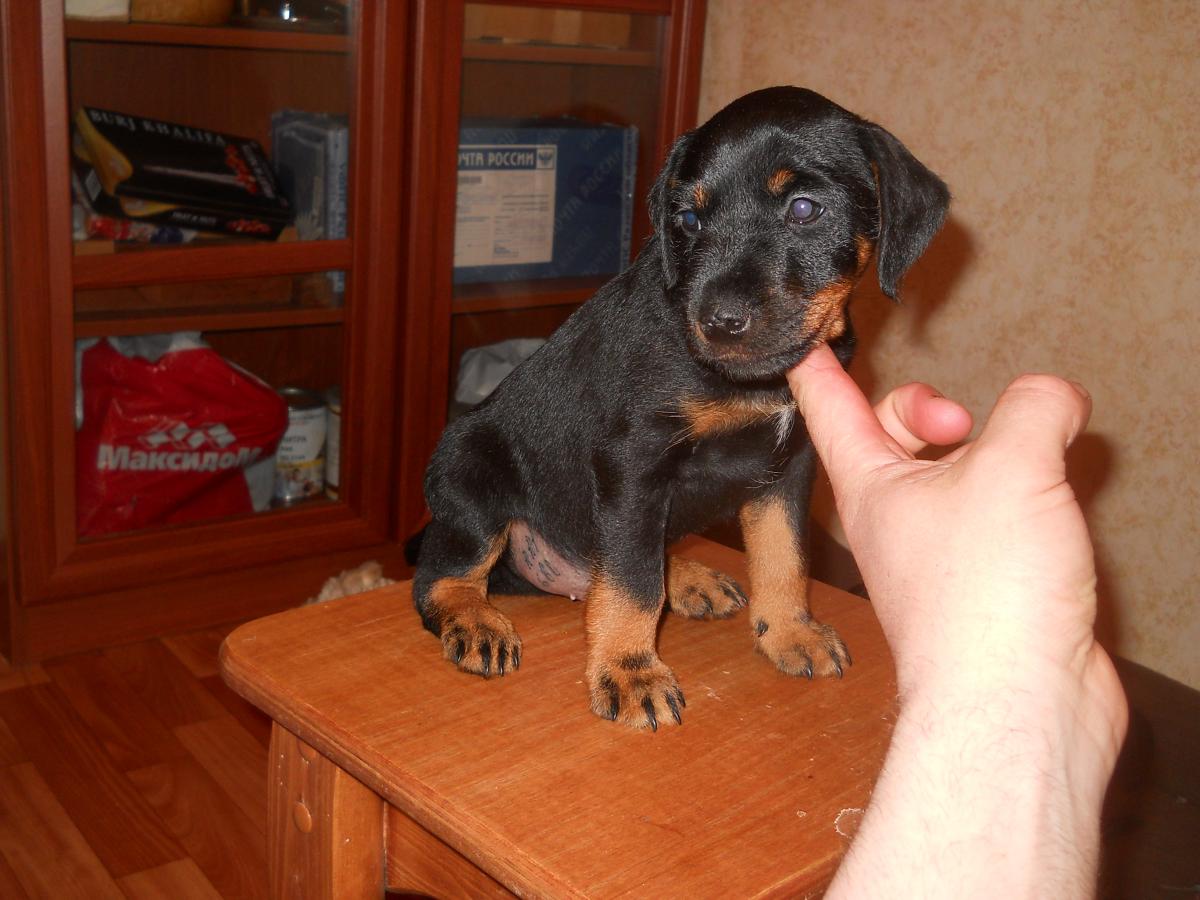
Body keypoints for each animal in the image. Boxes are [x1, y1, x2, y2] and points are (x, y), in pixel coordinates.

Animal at [414, 86, 949, 729]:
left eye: (803, 208)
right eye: (689, 221)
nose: (717, 323)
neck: (758, 382)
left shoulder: (789, 466)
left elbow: (785, 555)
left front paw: (790, 632)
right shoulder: (634, 460)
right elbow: (632, 580)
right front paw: (630, 671)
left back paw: (690, 578)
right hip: (468, 472)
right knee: (444, 574)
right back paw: (476, 621)